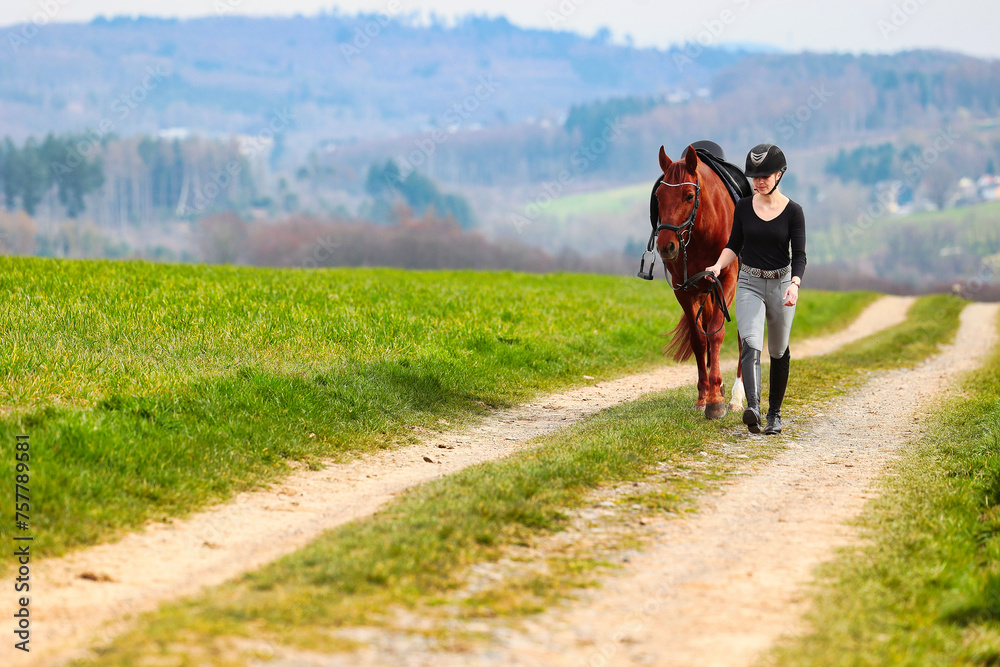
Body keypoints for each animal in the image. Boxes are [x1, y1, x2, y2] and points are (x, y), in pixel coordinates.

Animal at [653, 144, 744, 419]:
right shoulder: (686, 289)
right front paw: (705, 396)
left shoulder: (726, 279)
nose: (666, 246)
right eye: (658, 196)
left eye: (689, 196)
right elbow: (699, 339)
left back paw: (736, 397)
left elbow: (717, 334)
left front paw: (715, 400)